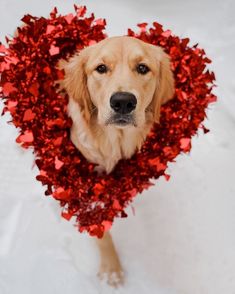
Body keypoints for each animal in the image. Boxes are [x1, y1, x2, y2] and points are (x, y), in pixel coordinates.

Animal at [60, 36, 174, 288]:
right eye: (101, 68)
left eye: (142, 68)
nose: (123, 102)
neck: (113, 142)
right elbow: (100, 231)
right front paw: (112, 270)